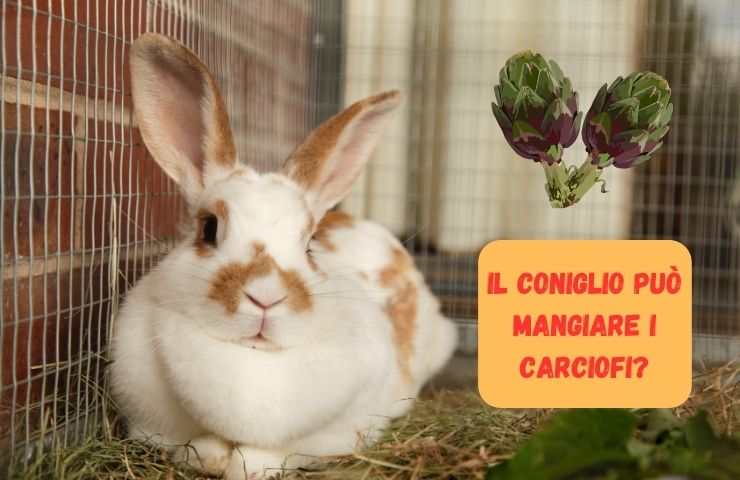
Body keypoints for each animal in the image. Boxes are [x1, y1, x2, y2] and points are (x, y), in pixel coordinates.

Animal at [110, 33, 458, 480]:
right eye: (209, 228)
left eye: (309, 243)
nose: (265, 296)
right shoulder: (149, 419)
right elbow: (193, 447)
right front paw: (213, 454)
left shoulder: (341, 430)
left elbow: (274, 454)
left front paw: (246, 463)